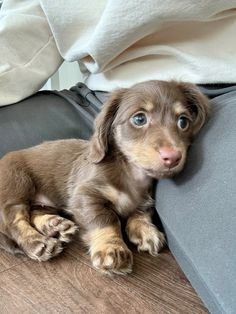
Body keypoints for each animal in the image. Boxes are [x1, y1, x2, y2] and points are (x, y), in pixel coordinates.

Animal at [0, 80, 209, 274]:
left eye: (183, 122)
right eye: (139, 118)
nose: (173, 157)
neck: (131, 173)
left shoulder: (144, 201)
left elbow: (140, 215)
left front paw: (146, 230)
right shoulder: (85, 196)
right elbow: (106, 219)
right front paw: (111, 248)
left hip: (44, 202)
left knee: (34, 213)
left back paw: (54, 225)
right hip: (17, 185)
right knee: (15, 221)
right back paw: (36, 242)